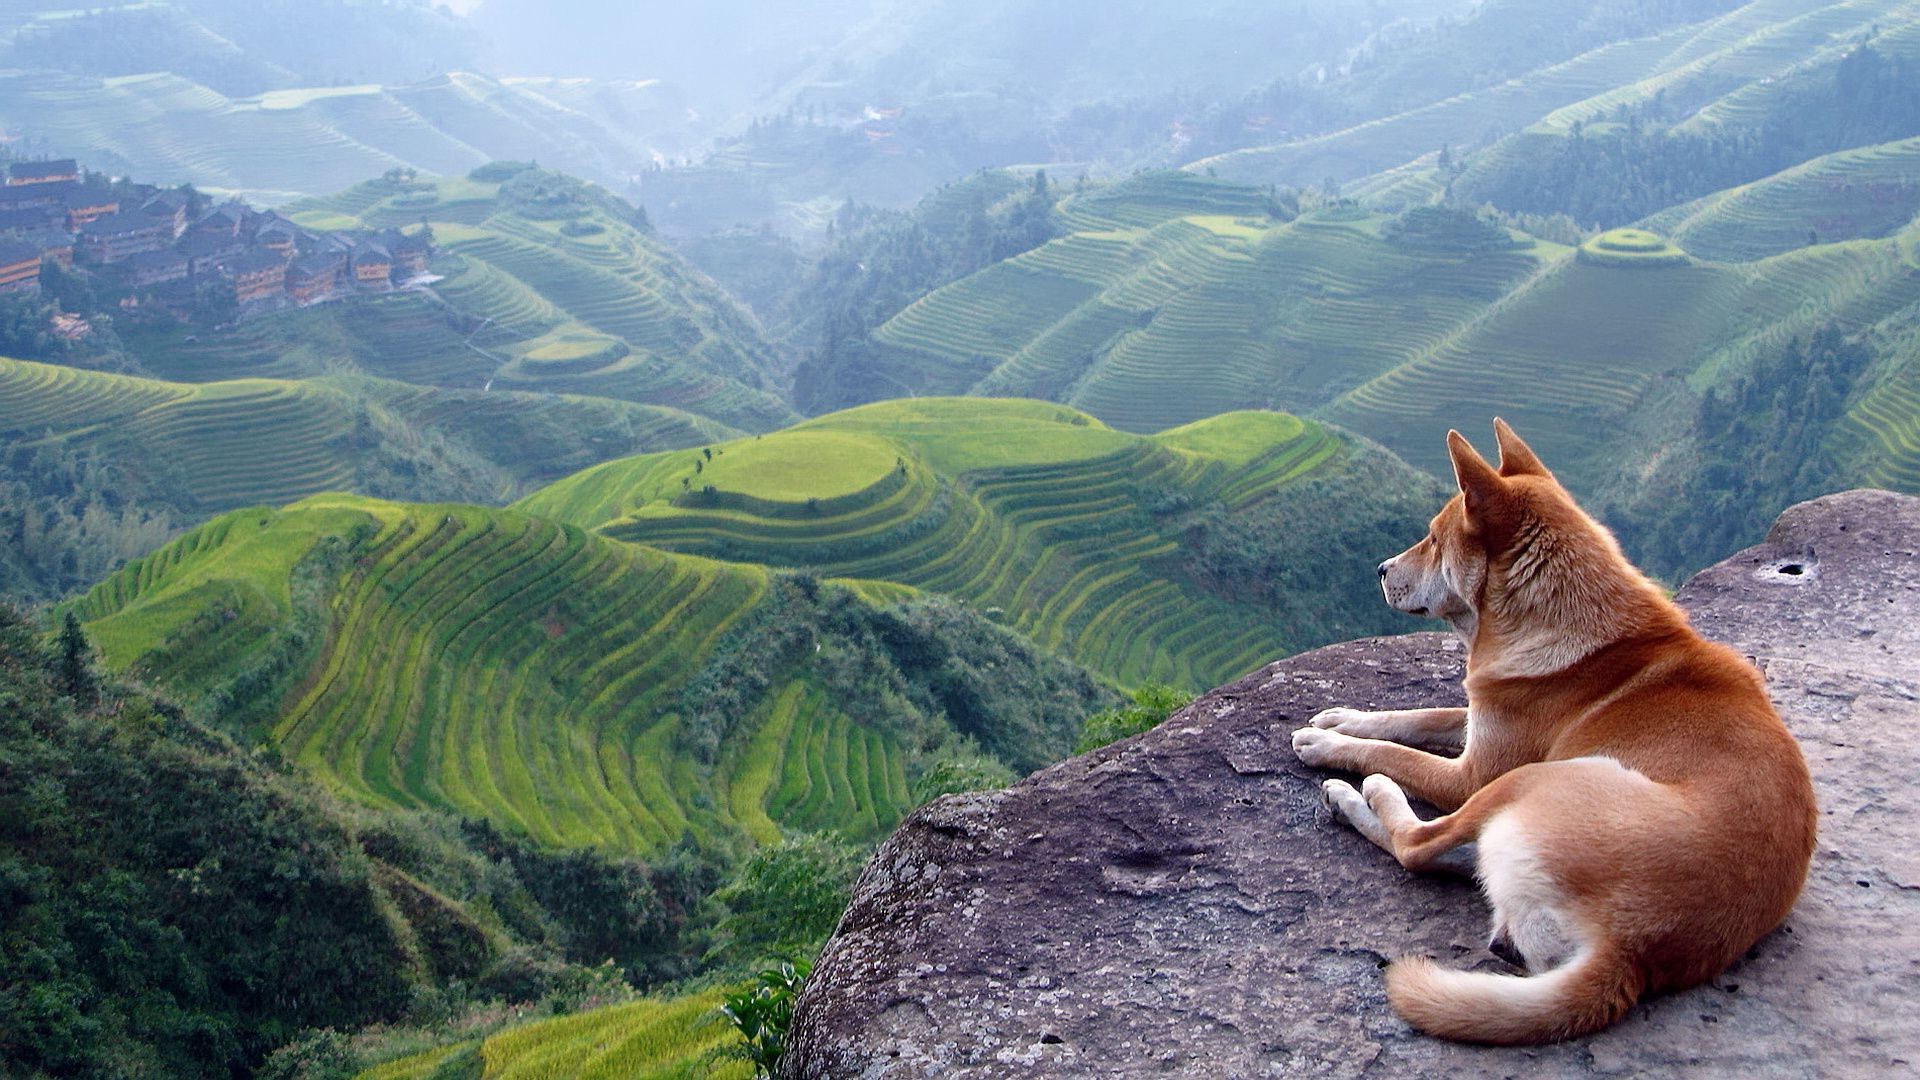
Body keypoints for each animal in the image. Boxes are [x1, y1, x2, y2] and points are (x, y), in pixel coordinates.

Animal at [1290, 417, 1812, 1037]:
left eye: (1434, 539)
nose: (1380, 570)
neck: (1561, 615)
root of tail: (1631, 952)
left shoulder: (1473, 773)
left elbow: (1397, 754)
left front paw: (1330, 741)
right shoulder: (1485, 715)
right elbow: (1420, 715)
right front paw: (1346, 717)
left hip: (1535, 779)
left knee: (1417, 845)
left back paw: (1360, 794)